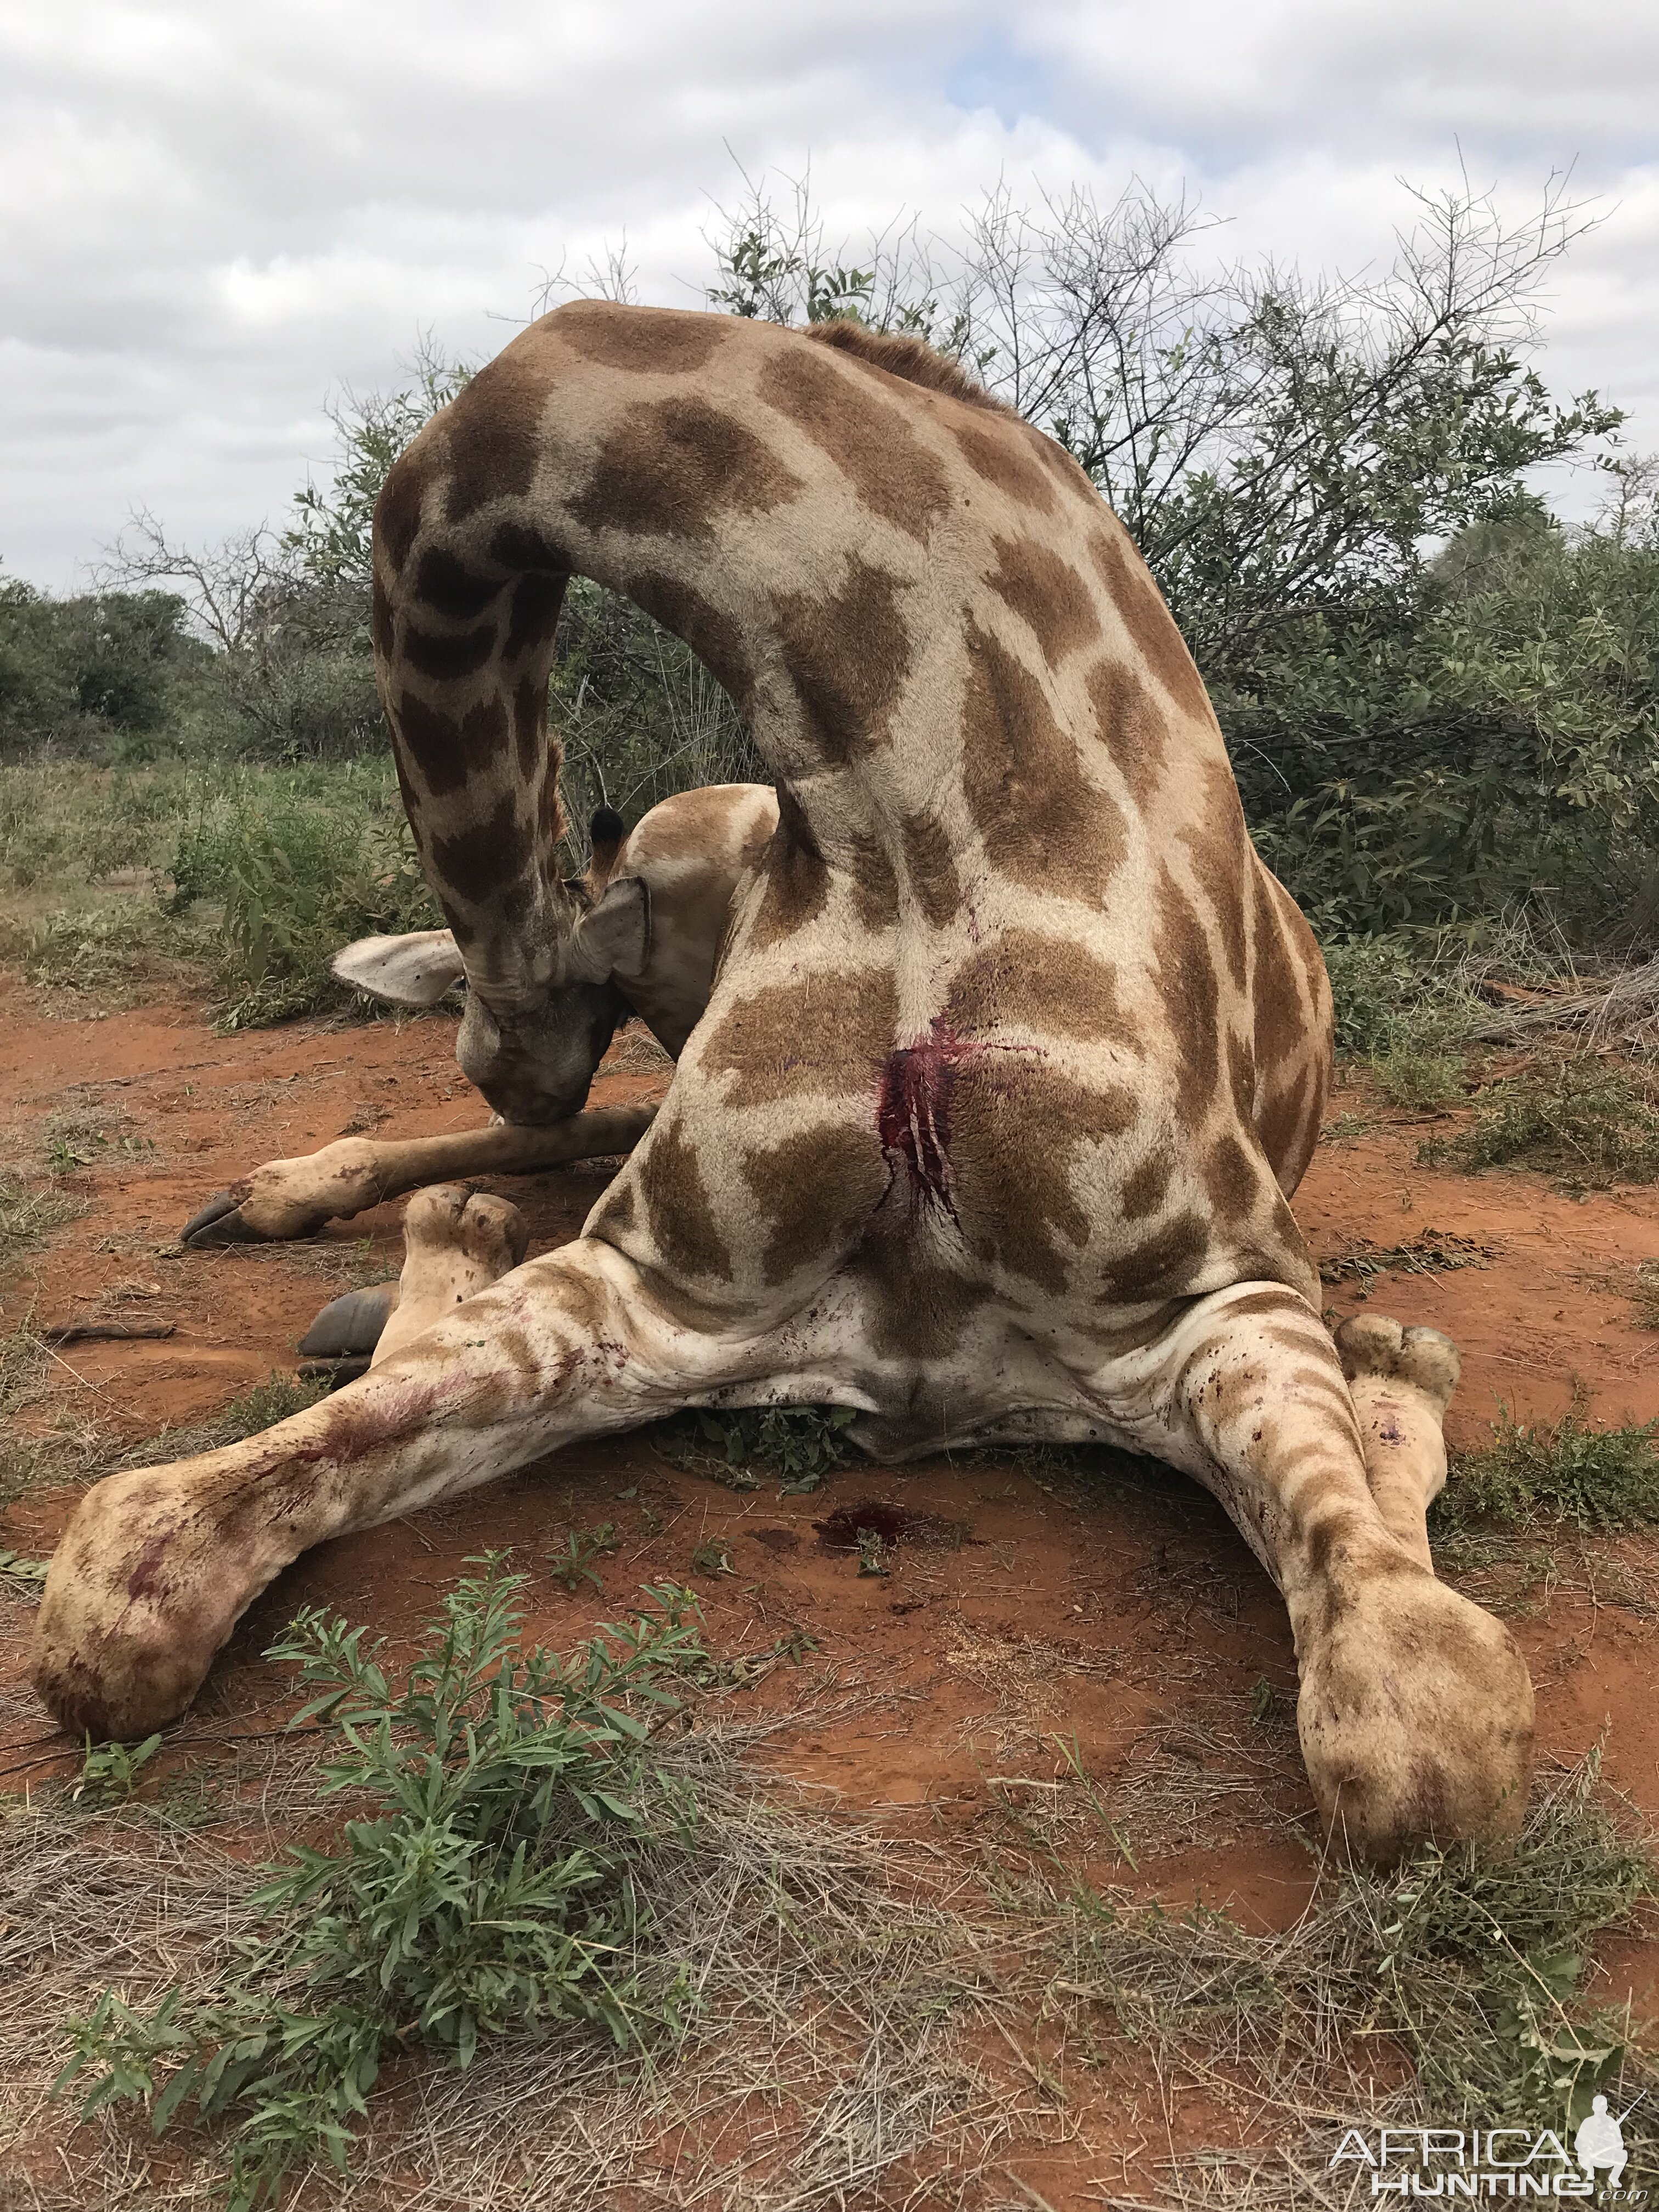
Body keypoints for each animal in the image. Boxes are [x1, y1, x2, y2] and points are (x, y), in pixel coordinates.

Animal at [32, 303, 1531, 1858]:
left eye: (587, 951)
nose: (500, 1063)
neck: (918, 817)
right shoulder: (658, 1295)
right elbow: (122, 1574)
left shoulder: (1221, 1298)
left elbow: (1422, 1723)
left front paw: (1389, 1390)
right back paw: (338, 1224)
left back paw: (1398, 1363)